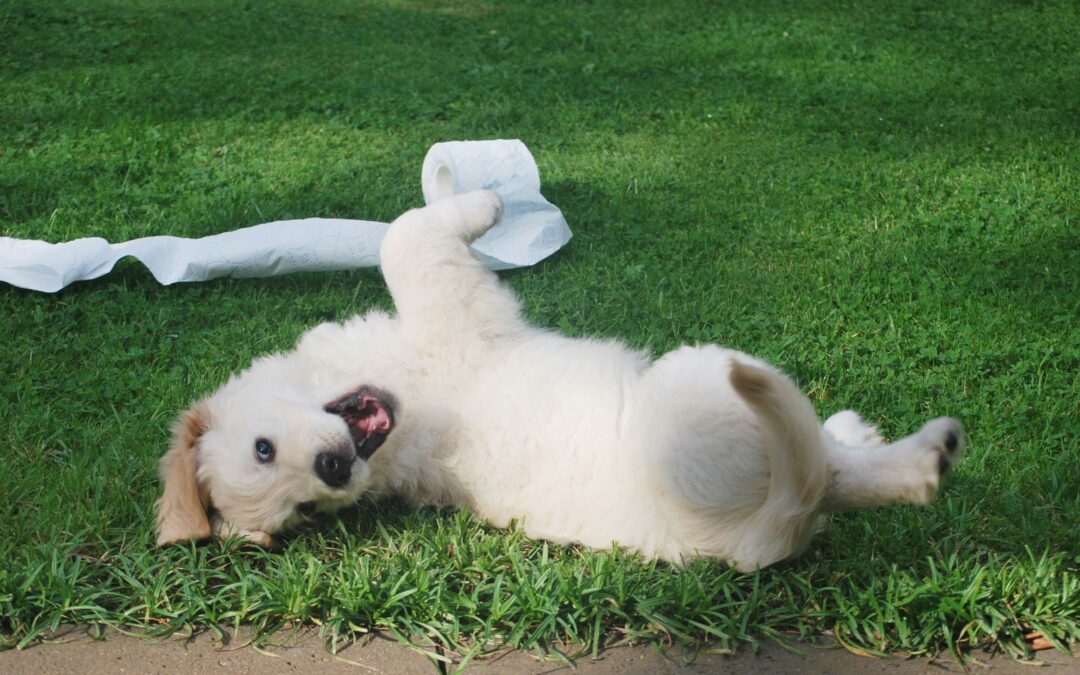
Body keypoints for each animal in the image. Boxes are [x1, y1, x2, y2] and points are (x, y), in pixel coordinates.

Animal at [156, 190, 967, 570]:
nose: (332, 473)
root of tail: (757, 536)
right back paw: (924, 455)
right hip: (705, 386)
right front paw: (485, 204)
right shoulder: (452, 306)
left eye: (264, 450)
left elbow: (403, 232)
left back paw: (861, 431)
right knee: (831, 470)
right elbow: (404, 237)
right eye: (306, 509)